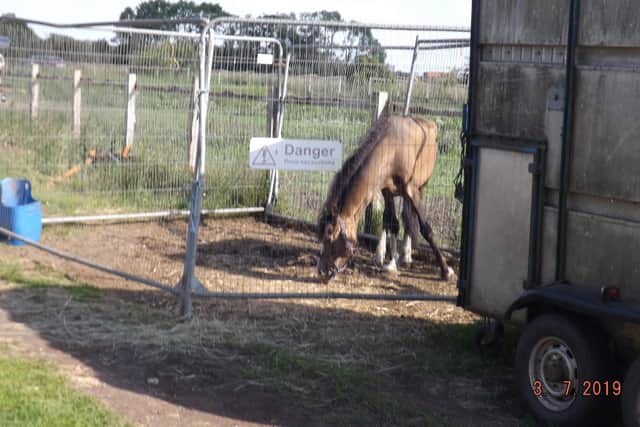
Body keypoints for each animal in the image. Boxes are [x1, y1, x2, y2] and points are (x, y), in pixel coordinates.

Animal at [316, 100, 455, 282]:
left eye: (330, 236)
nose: (321, 271)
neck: (392, 150)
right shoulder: (386, 190)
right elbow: (392, 223)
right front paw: (391, 263)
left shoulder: (412, 190)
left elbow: (426, 229)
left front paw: (446, 270)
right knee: (395, 218)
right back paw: (383, 255)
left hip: (421, 187)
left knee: (409, 217)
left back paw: (407, 255)